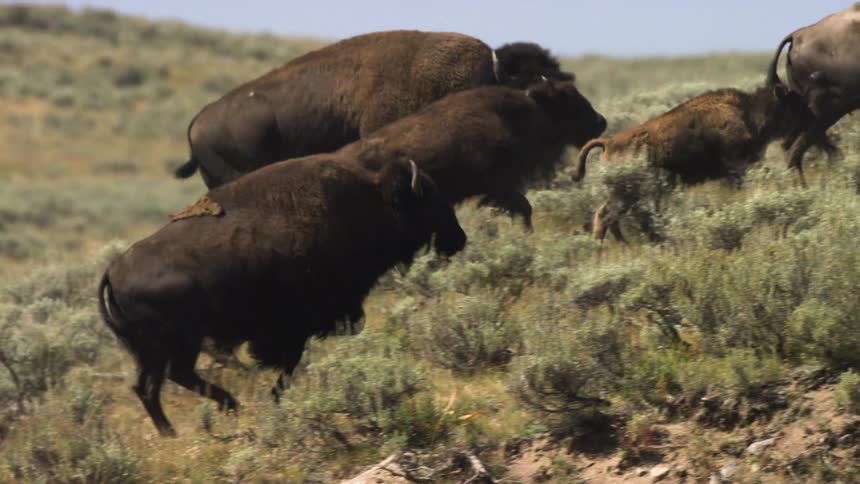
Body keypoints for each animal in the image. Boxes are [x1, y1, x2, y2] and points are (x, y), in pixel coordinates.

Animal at [98, 156, 466, 437]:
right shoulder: (292, 329)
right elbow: (287, 364)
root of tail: (114, 270)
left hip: (151, 352)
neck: (370, 203)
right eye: (428, 199)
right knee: (171, 378)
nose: (459, 238)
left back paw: (175, 431)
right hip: (176, 344)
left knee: (148, 387)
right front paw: (276, 399)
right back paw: (225, 409)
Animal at [572, 85, 815, 242]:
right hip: (624, 194)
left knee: (607, 218)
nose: (812, 117)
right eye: (794, 103)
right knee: (606, 217)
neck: (748, 113)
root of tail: (609, 142)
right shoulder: (738, 168)